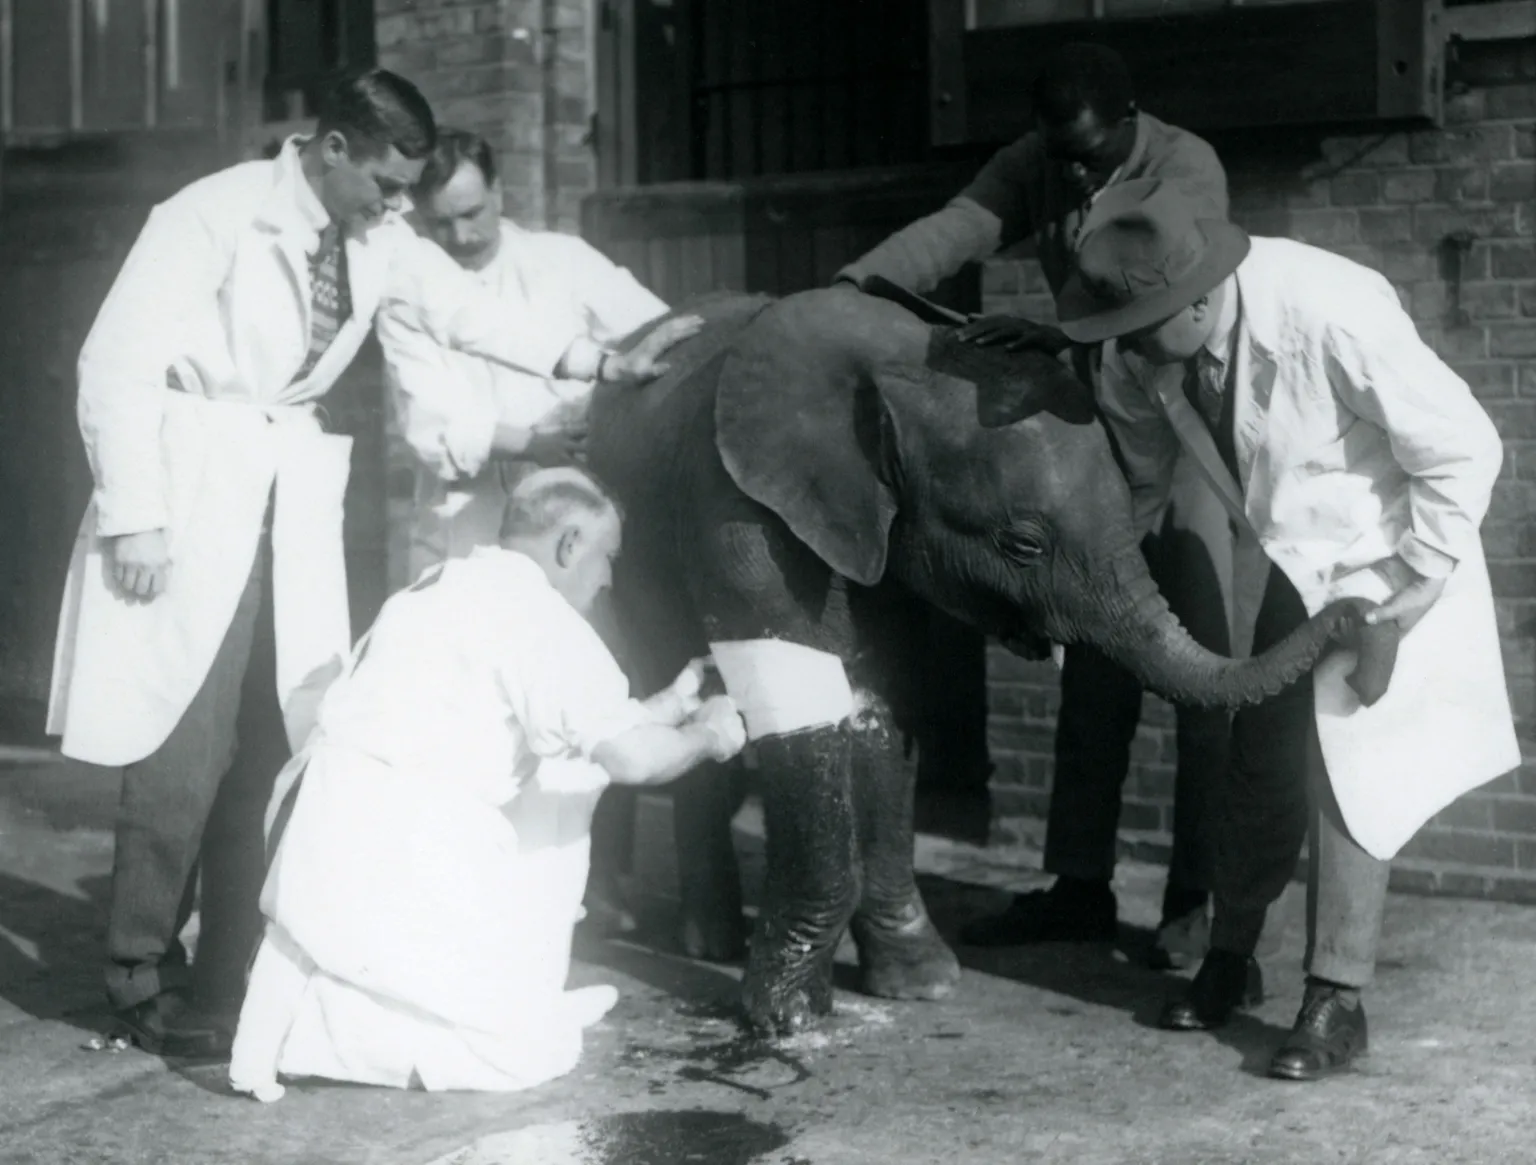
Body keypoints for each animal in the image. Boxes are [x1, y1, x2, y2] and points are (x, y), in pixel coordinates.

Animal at [584, 285, 1376, 1035]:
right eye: (1022, 544)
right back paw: (677, 934)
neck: (896, 359)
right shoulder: (736, 510)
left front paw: (922, 982)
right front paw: (788, 1016)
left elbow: (880, 705)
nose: (1360, 618)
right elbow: (804, 714)